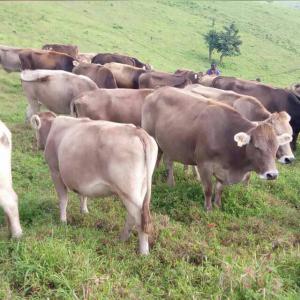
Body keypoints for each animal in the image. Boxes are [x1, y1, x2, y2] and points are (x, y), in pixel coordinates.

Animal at [29, 113, 157, 254]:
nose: (37, 145)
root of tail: (138, 131)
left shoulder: (55, 171)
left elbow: (63, 199)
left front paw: (62, 221)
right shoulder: (81, 178)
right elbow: (83, 195)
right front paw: (84, 211)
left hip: (128, 192)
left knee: (139, 220)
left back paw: (143, 252)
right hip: (140, 190)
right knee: (132, 217)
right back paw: (122, 238)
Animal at [142, 86, 292, 209]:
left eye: (275, 147)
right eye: (257, 147)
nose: (272, 174)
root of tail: (156, 92)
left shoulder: (223, 170)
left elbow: (219, 189)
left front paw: (218, 205)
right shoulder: (204, 165)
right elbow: (208, 189)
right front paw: (208, 208)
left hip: (170, 144)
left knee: (168, 162)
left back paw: (169, 182)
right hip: (154, 139)